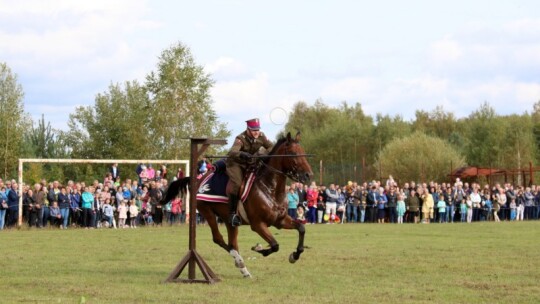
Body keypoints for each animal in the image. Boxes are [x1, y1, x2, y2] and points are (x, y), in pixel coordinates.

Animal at [163, 132, 312, 278]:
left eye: (303, 151)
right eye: (293, 153)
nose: (308, 175)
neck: (269, 188)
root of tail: (199, 179)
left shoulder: (280, 220)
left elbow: (301, 228)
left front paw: (295, 255)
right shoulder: (258, 224)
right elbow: (275, 245)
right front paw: (259, 249)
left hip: (229, 221)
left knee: (232, 242)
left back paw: (243, 268)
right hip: (207, 212)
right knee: (219, 239)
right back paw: (239, 260)